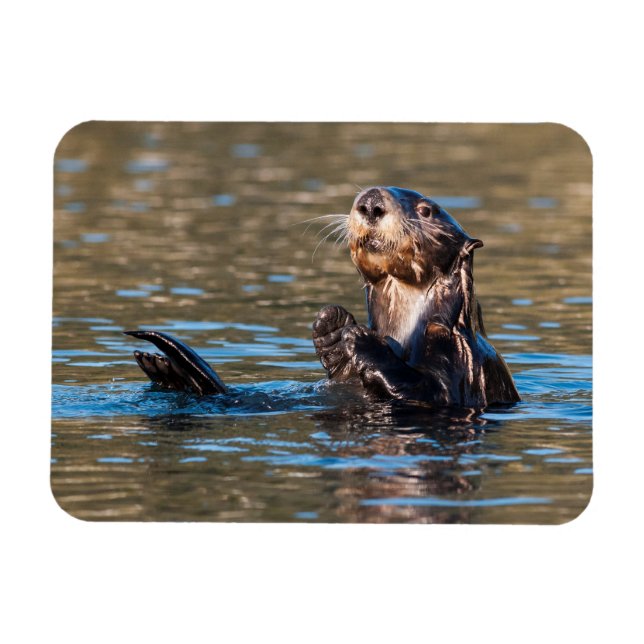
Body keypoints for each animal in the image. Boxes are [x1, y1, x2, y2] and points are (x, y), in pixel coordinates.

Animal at [125, 186, 520, 407]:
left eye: (426, 210)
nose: (371, 203)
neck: (407, 329)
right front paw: (331, 326)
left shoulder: (460, 358)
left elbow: (429, 391)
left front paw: (361, 339)